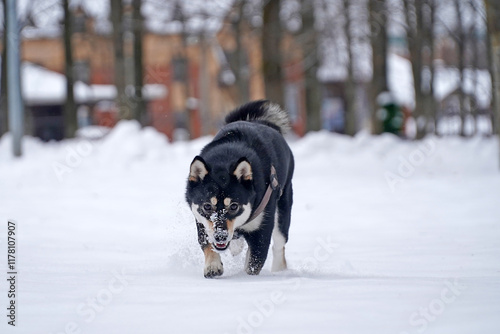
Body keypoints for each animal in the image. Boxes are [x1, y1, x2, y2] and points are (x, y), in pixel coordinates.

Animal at [186, 100, 294, 278]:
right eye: (207, 206)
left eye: (234, 206)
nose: (220, 236)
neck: (225, 159)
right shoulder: (202, 222)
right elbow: (207, 244)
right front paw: (213, 266)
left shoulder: (261, 230)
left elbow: (254, 262)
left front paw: (245, 279)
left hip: (283, 211)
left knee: (279, 244)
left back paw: (279, 270)